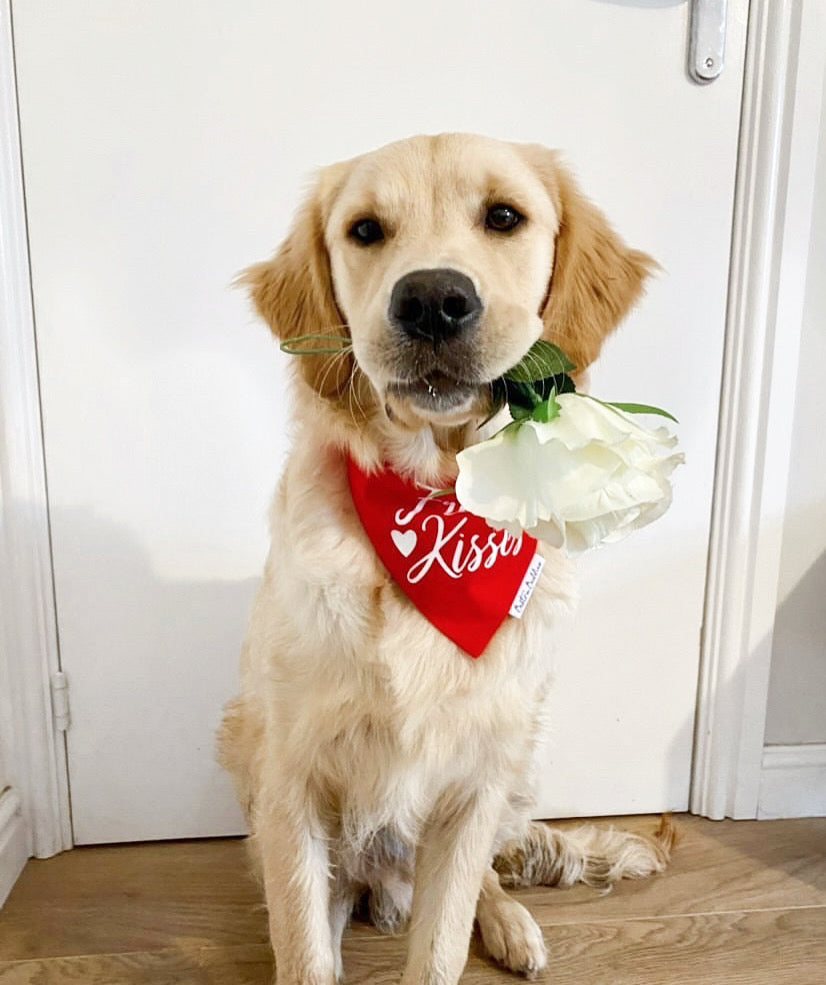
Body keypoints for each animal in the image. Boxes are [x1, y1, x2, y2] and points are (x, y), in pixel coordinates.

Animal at [220, 133, 676, 984]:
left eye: (504, 217)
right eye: (365, 230)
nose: (432, 299)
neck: (434, 513)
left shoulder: (473, 782)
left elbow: (443, 938)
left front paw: (478, 925)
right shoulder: (294, 781)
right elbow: (304, 946)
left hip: (517, 762)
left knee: (488, 876)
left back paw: (511, 924)